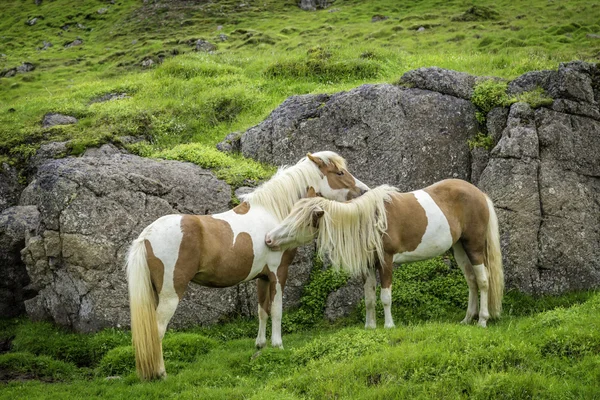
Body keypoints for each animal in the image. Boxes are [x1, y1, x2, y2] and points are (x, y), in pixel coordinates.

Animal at [127, 152, 370, 380]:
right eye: (339, 173)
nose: (365, 191)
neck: (274, 213)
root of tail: (146, 236)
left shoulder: (262, 277)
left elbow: (262, 311)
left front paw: (261, 344)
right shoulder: (278, 273)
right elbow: (277, 310)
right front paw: (278, 345)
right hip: (171, 294)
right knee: (157, 330)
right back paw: (160, 373)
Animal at [264, 181, 504, 332]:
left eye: (300, 221)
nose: (269, 239)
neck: (368, 220)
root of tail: (479, 194)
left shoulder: (386, 262)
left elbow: (385, 297)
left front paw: (389, 325)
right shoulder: (369, 266)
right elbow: (370, 298)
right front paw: (370, 326)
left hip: (474, 246)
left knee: (483, 281)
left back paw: (482, 320)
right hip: (460, 248)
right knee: (471, 281)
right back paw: (468, 319)